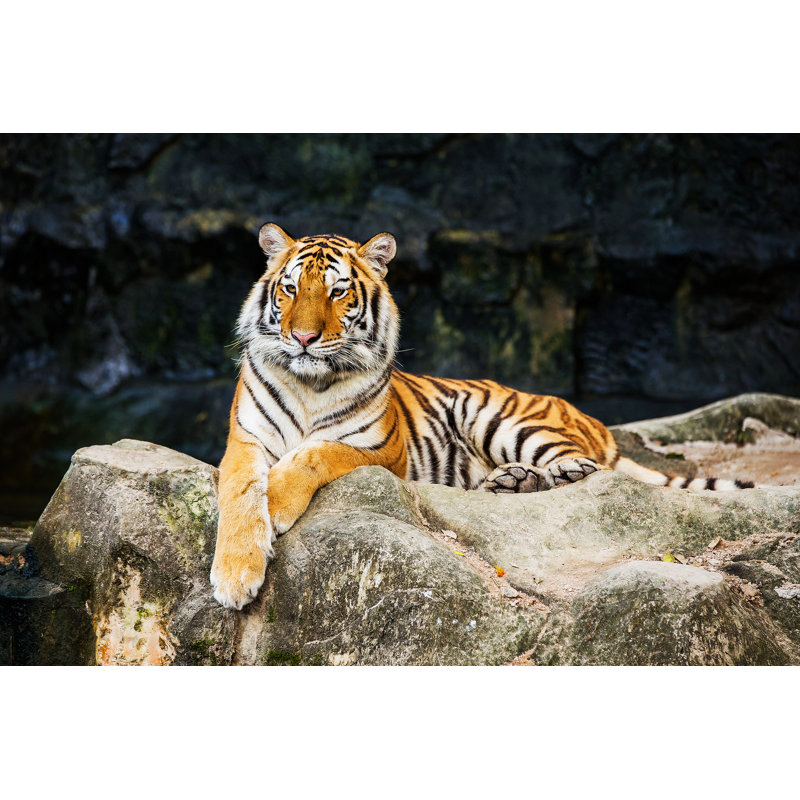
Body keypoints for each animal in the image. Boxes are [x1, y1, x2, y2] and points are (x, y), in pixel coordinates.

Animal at [210, 223, 755, 610]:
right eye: (289, 289)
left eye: (338, 292)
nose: (302, 338)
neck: (311, 384)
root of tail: (589, 417)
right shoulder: (244, 441)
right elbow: (239, 496)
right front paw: (235, 578)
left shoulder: (381, 448)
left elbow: (315, 454)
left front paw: (278, 502)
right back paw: (509, 482)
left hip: (503, 419)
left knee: (585, 467)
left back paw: (551, 474)